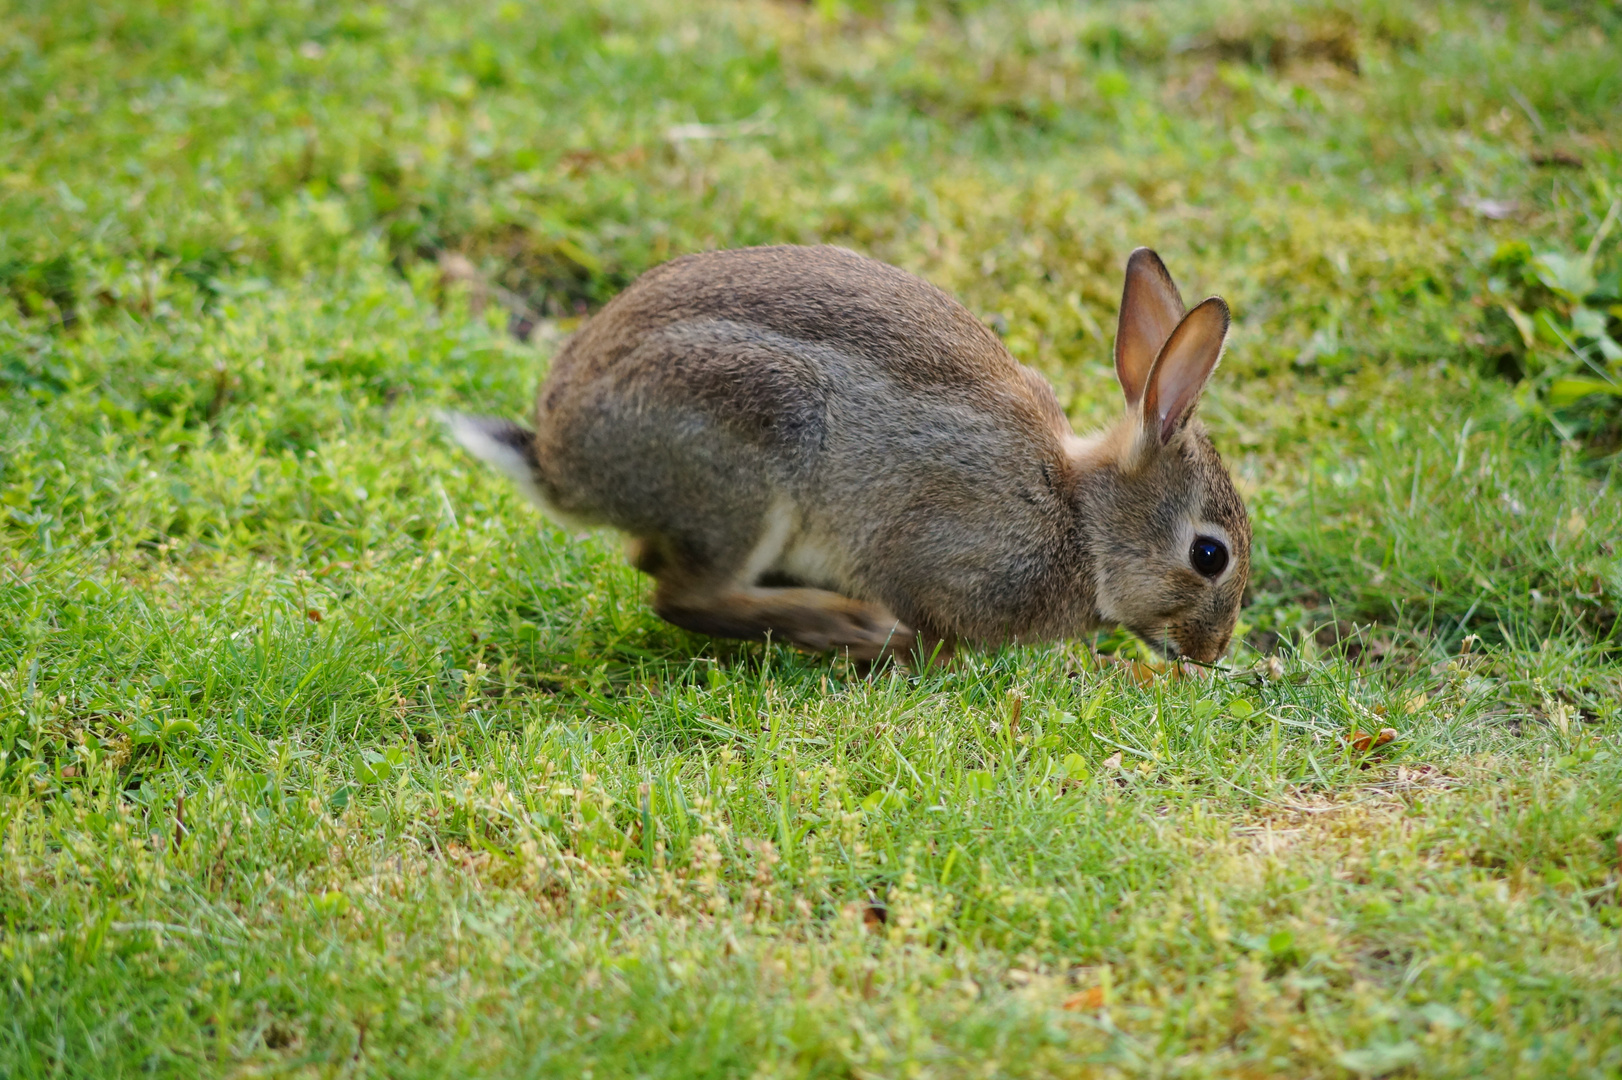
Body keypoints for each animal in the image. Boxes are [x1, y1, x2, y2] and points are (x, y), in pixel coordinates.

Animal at [450, 244, 1245, 664]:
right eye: (1209, 555)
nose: (1211, 653)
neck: (1081, 517)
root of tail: (562, 462)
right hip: (754, 452)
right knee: (684, 597)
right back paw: (848, 628)